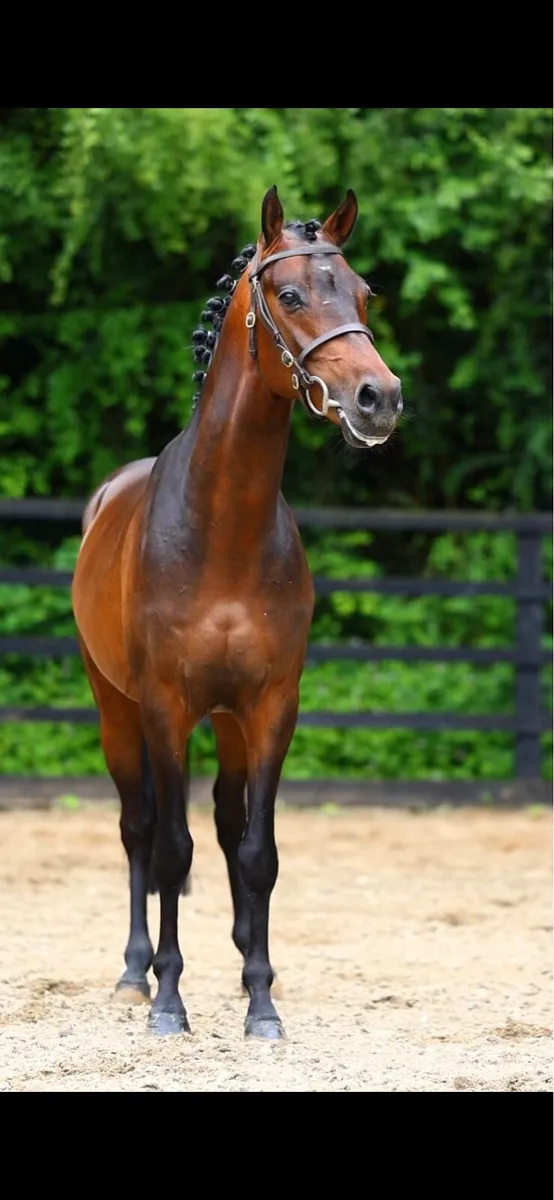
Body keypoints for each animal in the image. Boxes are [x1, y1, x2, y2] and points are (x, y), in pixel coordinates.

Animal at [71, 185, 402, 1041]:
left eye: (363, 295)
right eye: (289, 295)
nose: (378, 399)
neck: (221, 531)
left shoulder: (270, 707)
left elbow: (257, 851)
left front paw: (260, 1001)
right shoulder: (164, 706)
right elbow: (170, 849)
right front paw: (169, 1002)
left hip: (224, 720)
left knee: (224, 824)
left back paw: (249, 956)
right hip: (116, 708)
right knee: (139, 828)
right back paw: (135, 973)